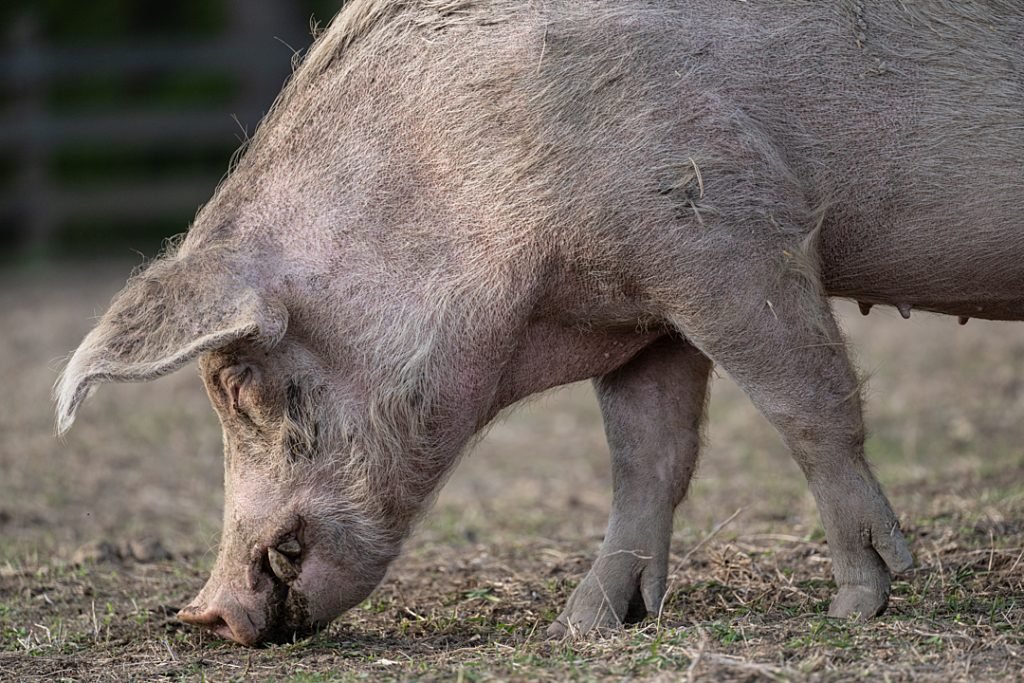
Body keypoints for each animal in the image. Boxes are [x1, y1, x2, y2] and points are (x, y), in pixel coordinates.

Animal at [58, 0, 1024, 647]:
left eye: (237, 382)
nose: (205, 612)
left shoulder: (728, 228)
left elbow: (810, 407)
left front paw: (860, 601)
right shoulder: (646, 309)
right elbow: (646, 458)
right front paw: (588, 626)